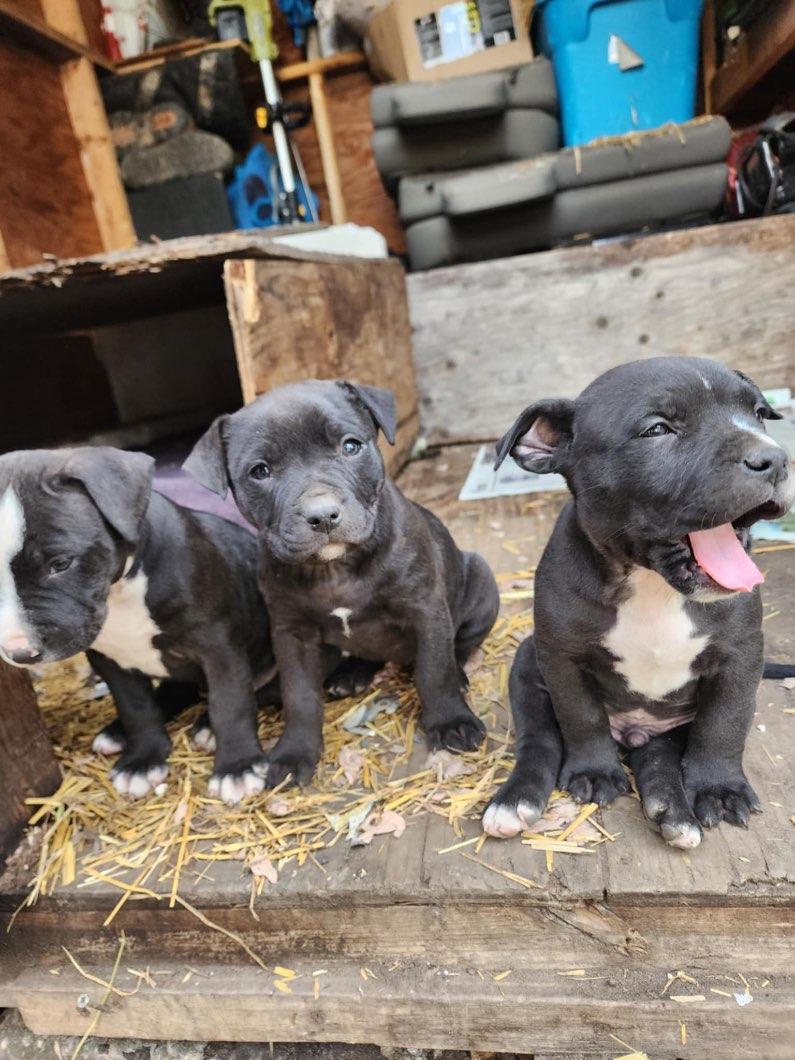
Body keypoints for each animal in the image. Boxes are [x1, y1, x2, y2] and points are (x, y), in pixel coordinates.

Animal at [0, 447, 273, 801]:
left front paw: (238, 766)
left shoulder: (218, 646)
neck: (120, 594)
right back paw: (118, 732)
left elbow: (231, 702)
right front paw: (142, 759)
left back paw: (208, 727)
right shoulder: (110, 660)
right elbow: (136, 708)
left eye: (60, 564)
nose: (19, 653)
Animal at [183, 377, 500, 784]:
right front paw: (294, 753)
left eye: (350, 446)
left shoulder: (426, 608)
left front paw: (451, 721)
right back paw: (350, 674)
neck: (335, 569)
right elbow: (299, 696)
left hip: (480, 580)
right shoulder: (292, 634)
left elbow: (434, 669)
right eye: (260, 471)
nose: (322, 515)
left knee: (457, 646)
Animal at [483, 360, 792, 847]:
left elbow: (723, 724)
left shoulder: (740, 657)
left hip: (668, 728)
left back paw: (671, 810)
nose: (776, 459)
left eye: (759, 414)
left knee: (661, 756)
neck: (653, 585)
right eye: (657, 429)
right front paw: (594, 770)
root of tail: (634, 734)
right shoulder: (561, 657)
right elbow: (581, 716)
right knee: (541, 740)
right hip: (528, 662)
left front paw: (719, 788)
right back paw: (515, 802)